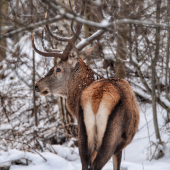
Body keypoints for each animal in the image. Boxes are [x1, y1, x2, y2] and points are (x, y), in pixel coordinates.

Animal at [31, 3, 139, 170]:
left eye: (58, 69)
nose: (37, 85)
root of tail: (97, 98)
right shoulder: (120, 146)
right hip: (111, 138)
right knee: (96, 165)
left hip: (83, 134)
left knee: (85, 163)